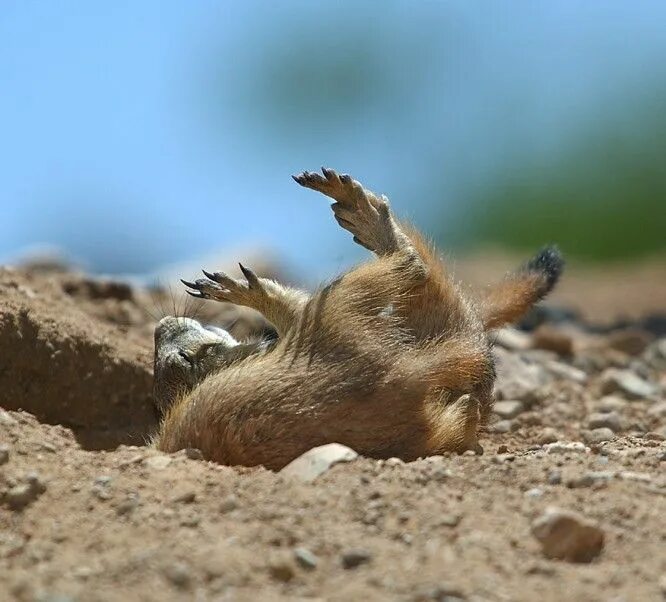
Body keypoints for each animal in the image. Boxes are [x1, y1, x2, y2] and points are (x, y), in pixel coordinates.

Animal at [150, 166, 560, 466]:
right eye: (185, 357)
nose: (159, 327)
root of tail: (404, 376)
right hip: (339, 312)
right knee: (414, 270)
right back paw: (363, 213)